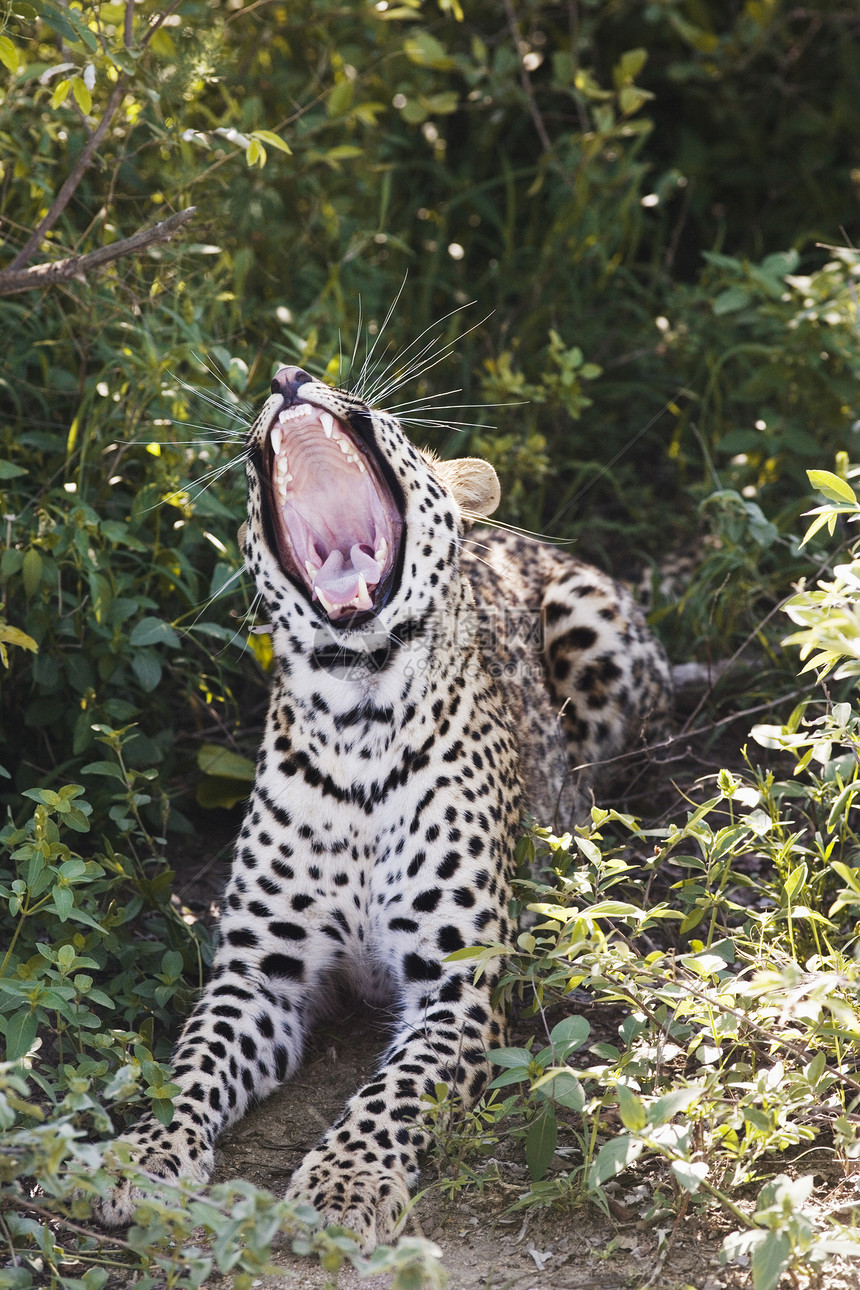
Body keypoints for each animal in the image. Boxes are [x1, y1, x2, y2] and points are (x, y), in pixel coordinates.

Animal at [94, 363, 670, 1248]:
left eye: (371, 408)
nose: (289, 376)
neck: (357, 711)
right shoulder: (257, 973)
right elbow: (190, 1061)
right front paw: (145, 1151)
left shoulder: (457, 988)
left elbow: (392, 1091)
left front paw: (346, 1182)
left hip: (590, 628)